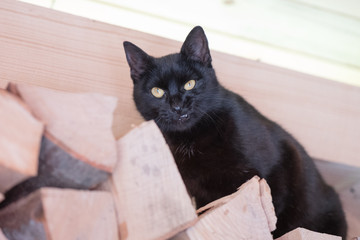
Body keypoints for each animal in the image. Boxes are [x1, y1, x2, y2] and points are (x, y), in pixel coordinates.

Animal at [123, 25, 346, 238]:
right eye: (157, 92)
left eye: (190, 83)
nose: (177, 106)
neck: (192, 138)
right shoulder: (200, 192)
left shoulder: (277, 168)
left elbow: (271, 219)